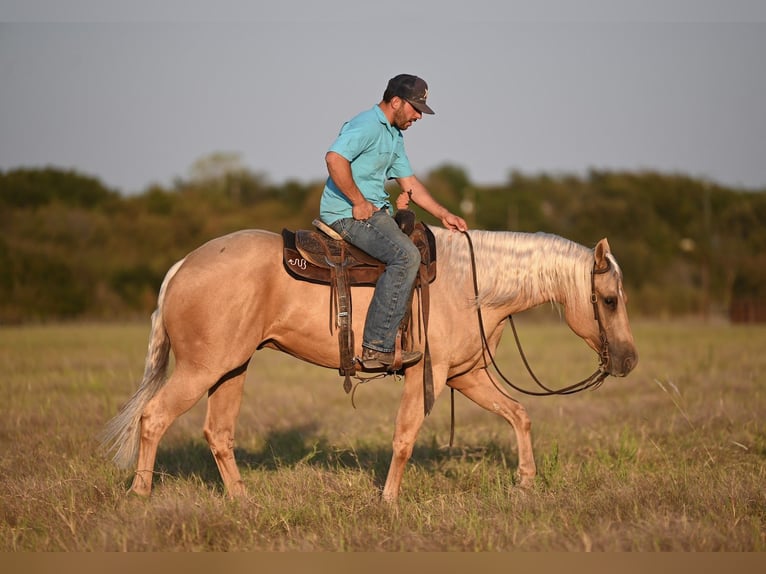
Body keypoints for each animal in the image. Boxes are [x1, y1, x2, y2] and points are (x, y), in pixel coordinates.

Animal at [103, 227, 640, 502]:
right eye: (610, 300)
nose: (630, 360)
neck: (472, 284)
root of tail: (182, 267)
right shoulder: (428, 375)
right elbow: (404, 438)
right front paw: (388, 501)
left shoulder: (467, 376)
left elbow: (518, 414)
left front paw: (526, 482)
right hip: (202, 369)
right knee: (153, 418)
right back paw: (141, 496)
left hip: (230, 370)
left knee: (218, 433)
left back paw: (242, 501)